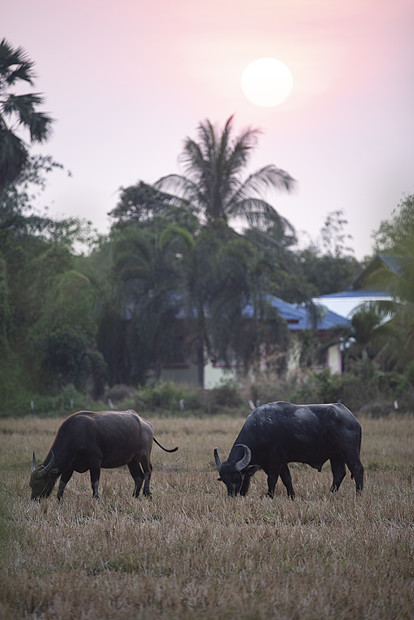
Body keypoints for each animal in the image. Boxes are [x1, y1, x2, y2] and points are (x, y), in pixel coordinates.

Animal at [28, 410, 178, 502]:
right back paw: (134, 496)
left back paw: (147, 494)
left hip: (144, 455)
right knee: (138, 477)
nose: (34, 499)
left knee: (148, 471)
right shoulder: (69, 466)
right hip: (132, 461)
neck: (75, 435)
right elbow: (62, 483)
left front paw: (96, 498)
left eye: (38, 483)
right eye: (30, 484)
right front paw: (59, 499)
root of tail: (146, 424)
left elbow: (94, 482)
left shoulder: (95, 462)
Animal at [215, 402, 364, 498]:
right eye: (224, 480)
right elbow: (287, 479)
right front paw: (292, 496)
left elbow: (272, 480)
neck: (259, 429)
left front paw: (269, 496)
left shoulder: (274, 462)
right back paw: (331, 494)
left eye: (236, 478)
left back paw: (359, 495)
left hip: (349, 452)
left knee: (357, 469)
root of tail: (352, 418)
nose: (232, 496)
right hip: (336, 456)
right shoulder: (282, 463)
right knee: (339, 473)